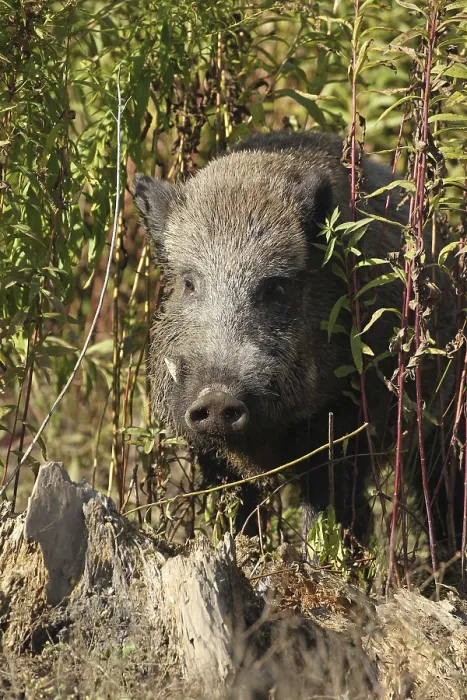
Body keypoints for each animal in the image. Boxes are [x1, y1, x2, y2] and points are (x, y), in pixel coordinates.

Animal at [133, 130, 456, 541]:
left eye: (275, 288)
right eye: (189, 284)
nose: (218, 397)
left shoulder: (345, 423)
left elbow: (332, 509)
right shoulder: (208, 452)